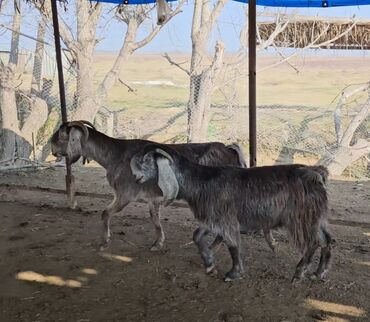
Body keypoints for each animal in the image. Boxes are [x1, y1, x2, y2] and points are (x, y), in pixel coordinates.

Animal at [51, 119, 266, 250]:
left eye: (61, 135)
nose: (52, 150)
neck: (115, 155)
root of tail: (229, 149)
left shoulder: (124, 195)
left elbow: (105, 213)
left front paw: (105, 241)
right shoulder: (151, 198)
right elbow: (155, 219)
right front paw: (158, 242)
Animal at [131, 145, 332, 280]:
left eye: (145, 160)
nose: (134, 175)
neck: (200, 181)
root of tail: (317, 174)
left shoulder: (226, 219)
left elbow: (233, 245)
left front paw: (234, 273)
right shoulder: (212, 218)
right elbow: (196, 236)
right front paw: (209, 263)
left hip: (301, 219)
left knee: (314, 242)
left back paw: (300, 271)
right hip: (316, 218)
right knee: (327, 240)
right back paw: (319, 272)